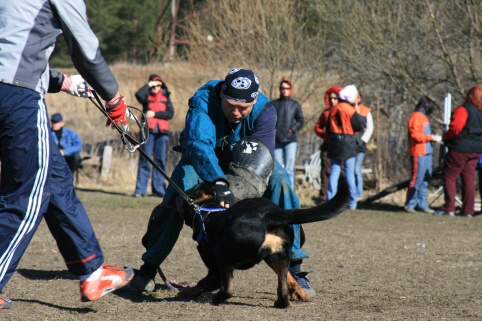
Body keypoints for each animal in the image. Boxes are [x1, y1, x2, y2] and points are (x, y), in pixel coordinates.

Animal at [175, 180, 348, 308]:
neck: (208, 210)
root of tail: (269, 215)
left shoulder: (214, 268)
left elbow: (202, 283)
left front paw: (184, 292)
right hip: (277, 258)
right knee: (283, 289)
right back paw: (281, 302)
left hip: (224, 256)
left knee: (228, 290)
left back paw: (216, 299)